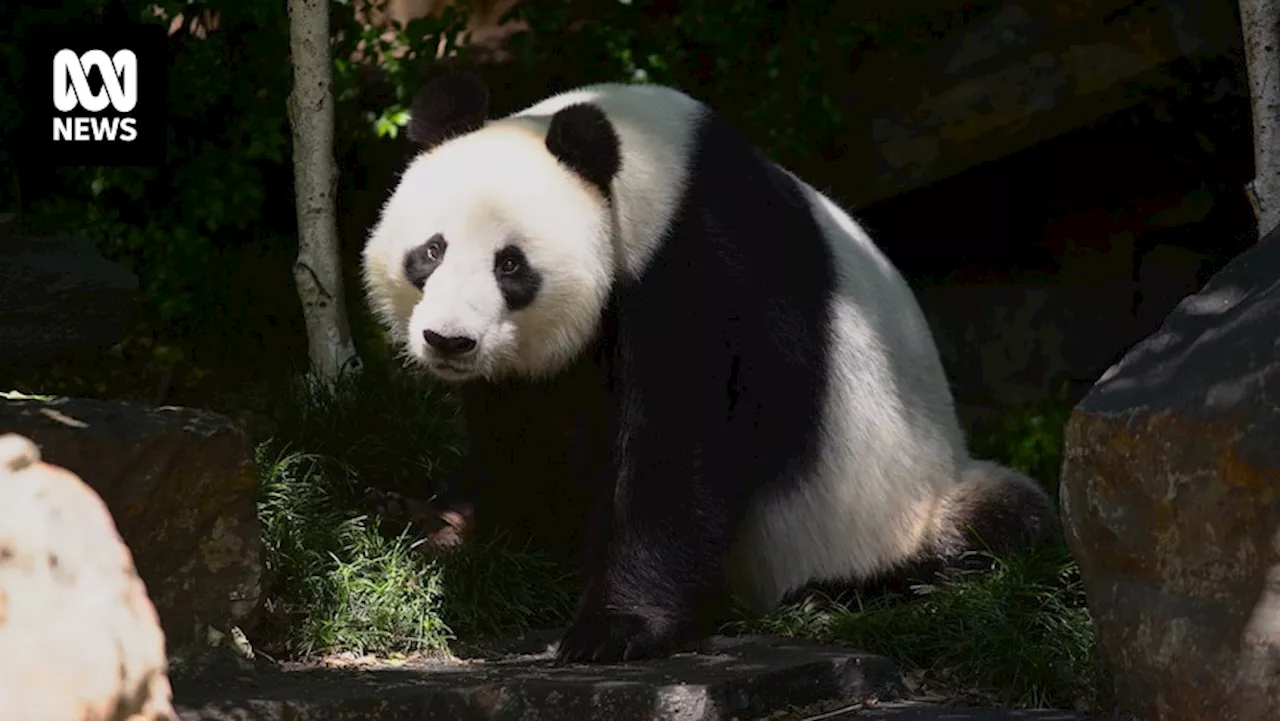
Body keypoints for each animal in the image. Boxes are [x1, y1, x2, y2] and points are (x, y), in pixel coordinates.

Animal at [358, 73, 1049, 665]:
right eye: (431, 251)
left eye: (510, 265)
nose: (449, 341)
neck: (650, 176)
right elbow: (525, 438)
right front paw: (446, 523)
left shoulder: (706, 265)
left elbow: (683, 440)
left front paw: (615, 628)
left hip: (907, 506)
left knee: (1002, 526)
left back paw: (837, 593)